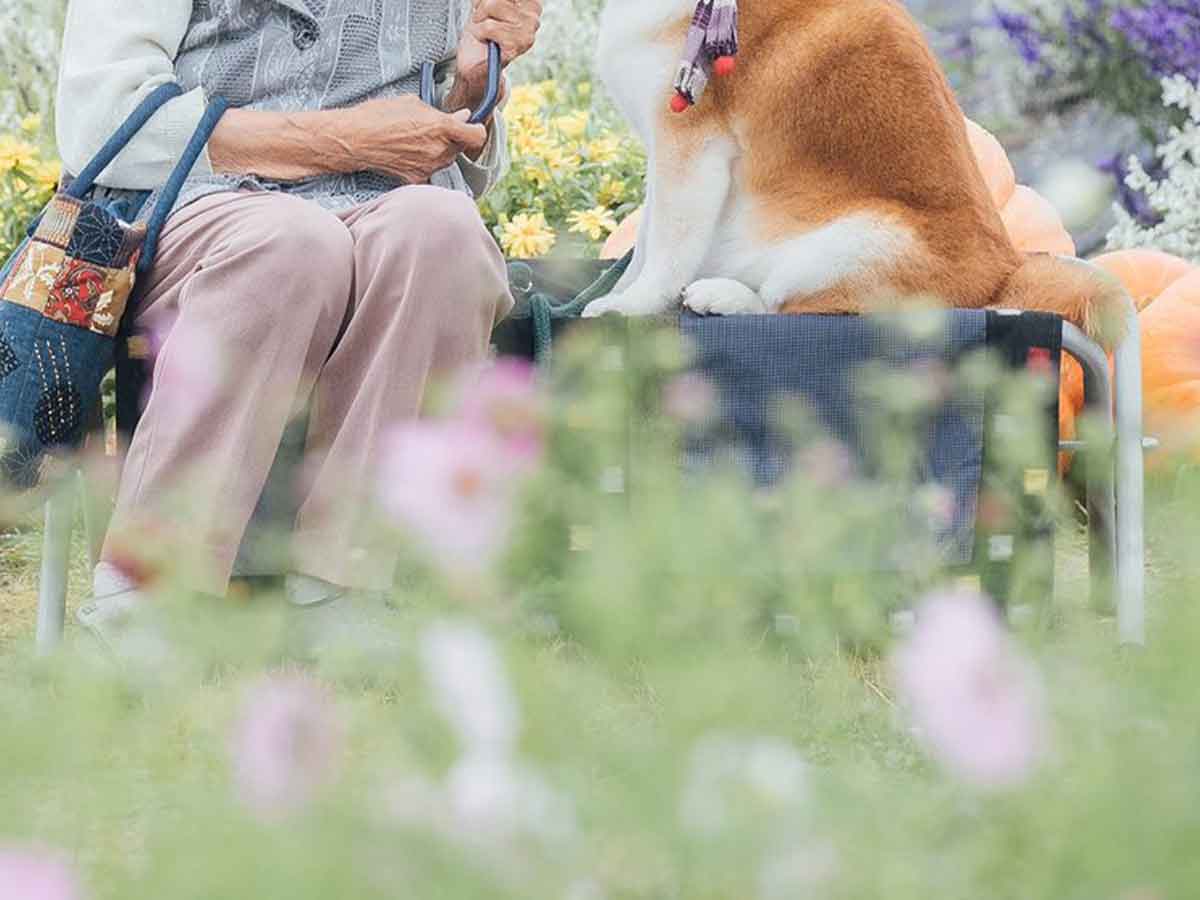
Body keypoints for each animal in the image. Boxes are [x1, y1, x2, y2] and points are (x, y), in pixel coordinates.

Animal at [585, 0, 1128, 343]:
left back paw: (727, 296)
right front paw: (617, 290)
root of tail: (1004, 277)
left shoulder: (690, 149)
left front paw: (630, 307)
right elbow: (645, 246)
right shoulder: (663, 159)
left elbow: (666, 254)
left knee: (792, 311)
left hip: (847, 248)